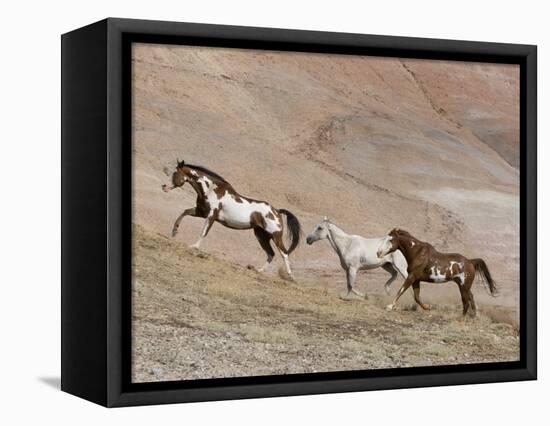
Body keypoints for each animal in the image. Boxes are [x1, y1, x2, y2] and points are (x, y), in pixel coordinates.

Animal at [162, 160, 304, 280]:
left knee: (284, 253)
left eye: (175, 173)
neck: (211, 190)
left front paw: (194, 246)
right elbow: (184, 212)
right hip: (261, 235)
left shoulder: (211, 216)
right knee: (271, 253)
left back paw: (290, 276)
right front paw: (174, 232)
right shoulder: (201, 212)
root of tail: (277, 211)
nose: (164, 186)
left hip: (275, 236)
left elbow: (203, 232)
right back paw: (259, 271)